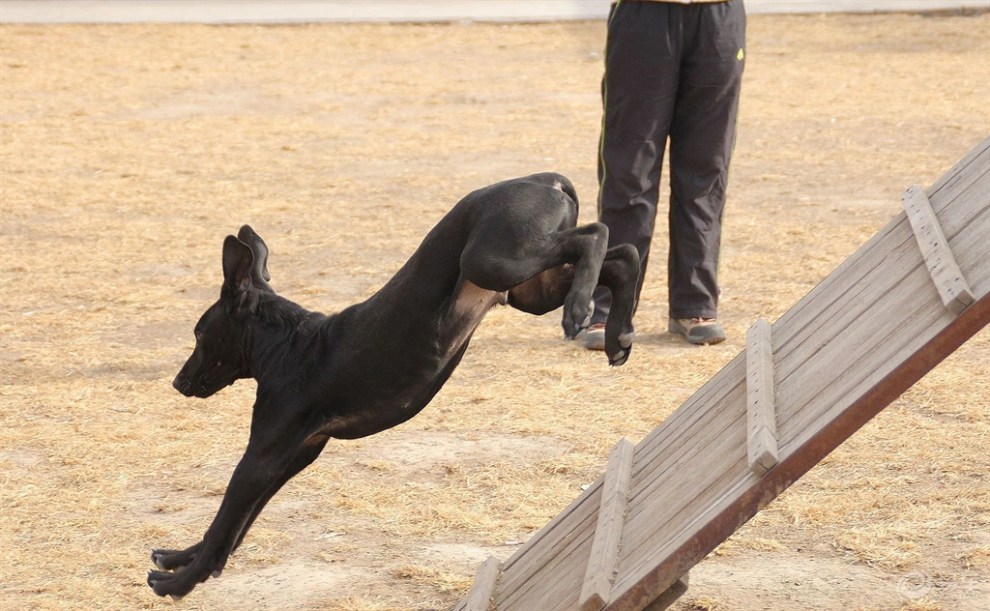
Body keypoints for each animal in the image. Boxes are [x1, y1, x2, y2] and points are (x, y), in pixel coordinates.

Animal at [147, 173, 644, 604]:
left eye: (199, 334)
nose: (178, 382)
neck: (288, 346)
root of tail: (542, 178)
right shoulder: (294, 456)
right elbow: (236, 527)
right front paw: (182, 560)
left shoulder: (261, 457)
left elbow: (224, 523)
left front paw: (177, 583)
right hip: (526, 289)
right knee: (623, 257)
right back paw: (618, 333)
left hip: (494, 262)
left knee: (596, 234)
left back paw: (581, 309)